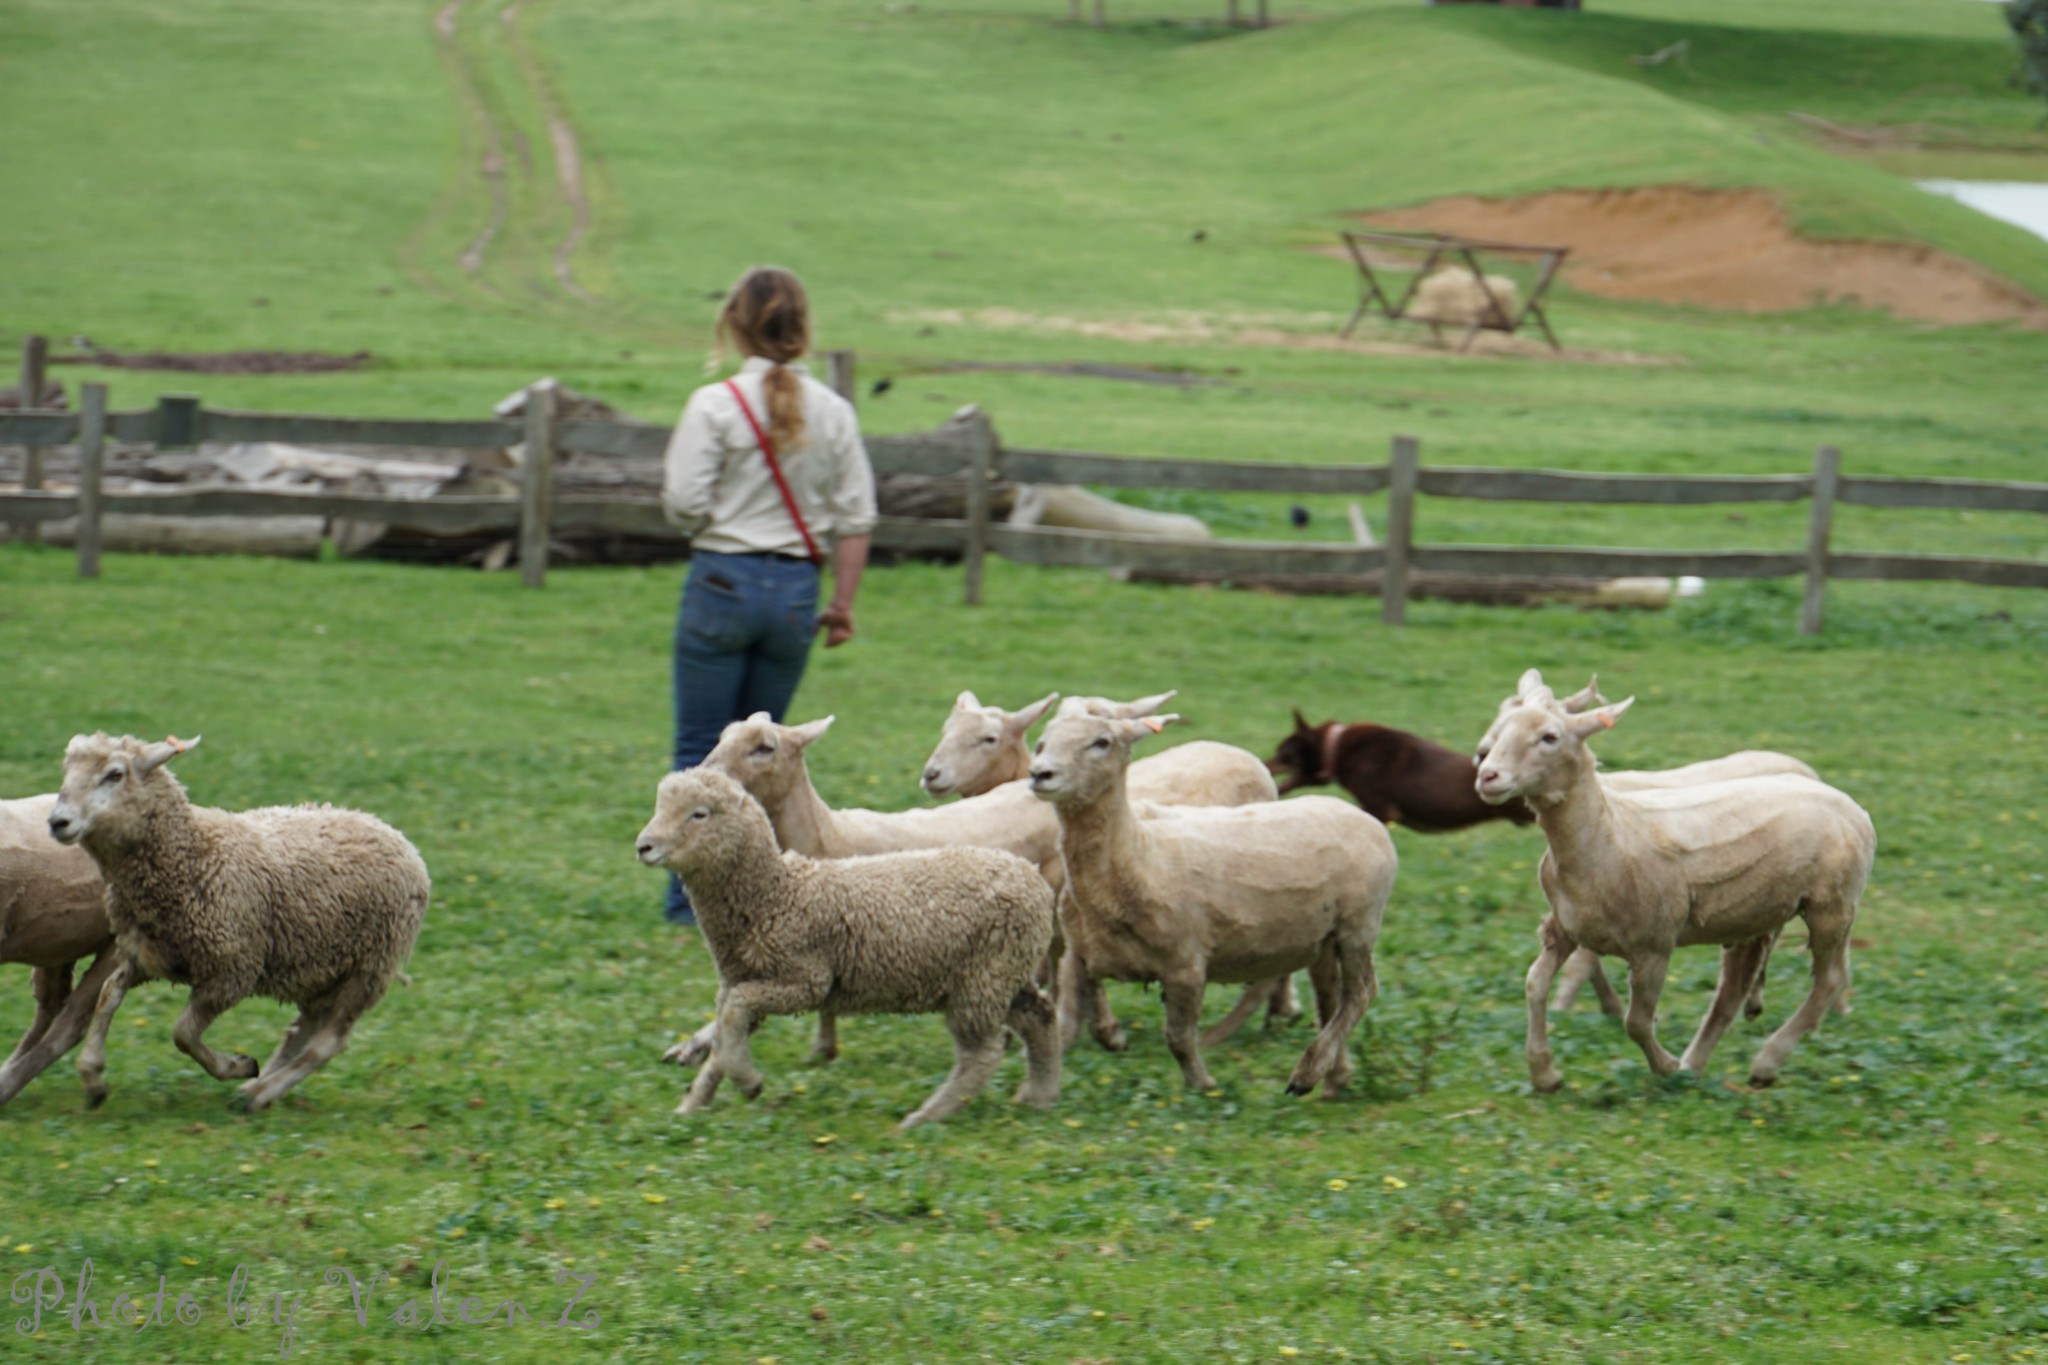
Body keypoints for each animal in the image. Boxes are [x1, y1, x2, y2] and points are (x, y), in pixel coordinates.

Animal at [47, 736, 428, 1113]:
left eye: (115, 774)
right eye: (67, 770)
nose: (57, 821)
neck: (191, 857)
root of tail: (391, 832)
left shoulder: (231, 973)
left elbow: (183, 1034)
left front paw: (235, 1066)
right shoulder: (146, 956)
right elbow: (108, 995)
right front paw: (93, 1077)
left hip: (369, 968)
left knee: (327, 1043)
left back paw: (258, 1093)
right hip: (322, 967)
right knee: (302, 1030)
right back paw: (262, 1086)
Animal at [634, 769, 1056, 1129]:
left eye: (699, 814)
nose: (643, 847)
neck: (775, 895)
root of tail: (1033, 878)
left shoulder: (803, 980)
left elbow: (735, 1014)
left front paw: (748, 1082)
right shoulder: (745, 978)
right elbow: (726, 1030)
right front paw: (693, 1104)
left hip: (982, 980)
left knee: (980, 1056)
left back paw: (924, 1118)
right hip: (1002, 974)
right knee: (1040, 1016)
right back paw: (1037, 1095)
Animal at [1032, 712, 1400, 1096]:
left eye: (1101, 742)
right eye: (1041, 743)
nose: (1040, 773)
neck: (1137, 853)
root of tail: (1363, 817)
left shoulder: (1186, 965)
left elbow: (1178, 1038)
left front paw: (1202, 1084)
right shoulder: (1079, 955)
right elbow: (1062, 1024)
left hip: (1358, 924)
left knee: (1361, 992)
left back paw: (1307, 1073)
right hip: (1323, 938)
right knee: (1330, 998)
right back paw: (1333, 1077)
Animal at [1474, 667, 1875, 1096]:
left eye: (1550, 737)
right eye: (1502, 726)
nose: (1486, 773)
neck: (1606, 831)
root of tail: (1848, 802)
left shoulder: (1653, 945)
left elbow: (1635, 1022)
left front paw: (1663, 1066)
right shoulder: (1565, 928)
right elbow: (1534, 984)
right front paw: (1545, 1073)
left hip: (1832, 905)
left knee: (1831, 980)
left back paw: (1765, 1062)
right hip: (1754, 916)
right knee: (1731, 994)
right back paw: (1696, 1064)